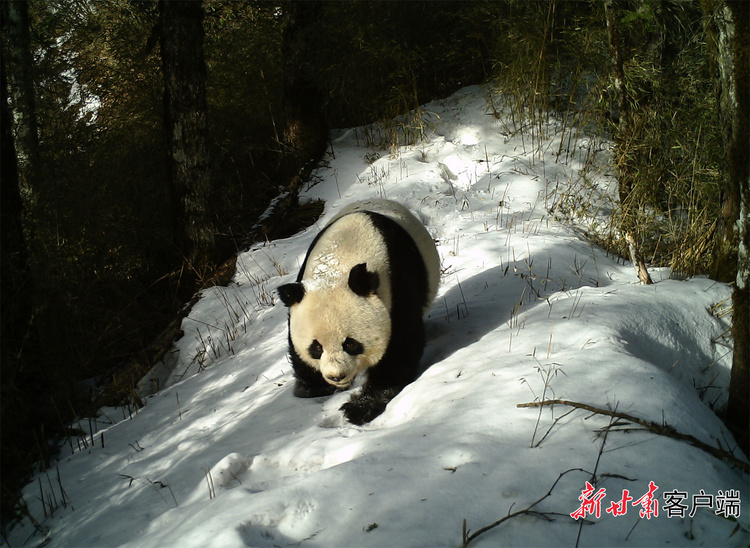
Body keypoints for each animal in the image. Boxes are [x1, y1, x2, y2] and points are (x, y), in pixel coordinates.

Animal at [280, 198, 440, 424]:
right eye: (316, 347)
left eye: (350, 343)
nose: (336, 376)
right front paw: (311, 388)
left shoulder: (398, 282)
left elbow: (400, 345)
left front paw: (360, 408)